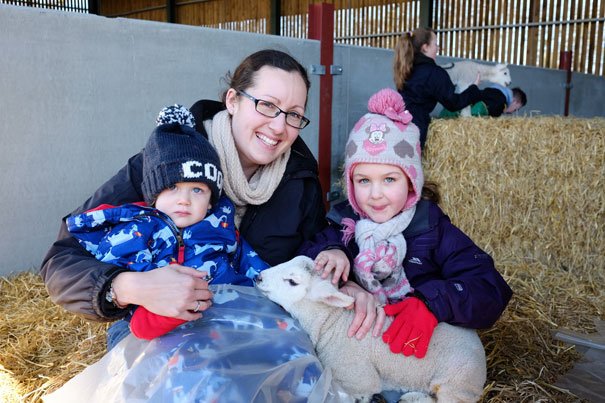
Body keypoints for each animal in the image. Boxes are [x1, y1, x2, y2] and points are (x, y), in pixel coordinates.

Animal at [255, 258, 486, 402]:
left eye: (292, 281)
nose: (258, 277)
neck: (333, 323)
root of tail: (480, 349)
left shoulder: (357, 380)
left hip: (457, 383)